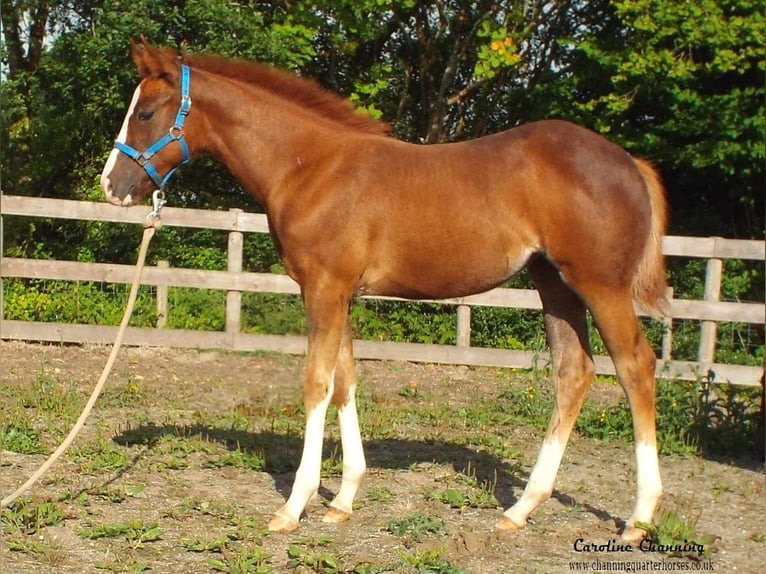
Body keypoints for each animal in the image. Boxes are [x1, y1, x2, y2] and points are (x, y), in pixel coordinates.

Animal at [100, 38, 664, 544]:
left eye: (146, 112)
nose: (111, 186)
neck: (310, 166)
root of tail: (631, 163)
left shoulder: (324, 289)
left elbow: (317, 383)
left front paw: (294, 506)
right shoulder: (340, 291)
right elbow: (345, 381)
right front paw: (344, 501)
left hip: (600, 285)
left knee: (636, 366)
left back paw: (639, 518)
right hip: (554, 284)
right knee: (574, 372)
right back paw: (521, 509)